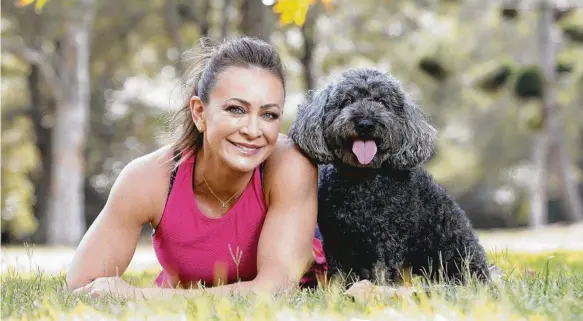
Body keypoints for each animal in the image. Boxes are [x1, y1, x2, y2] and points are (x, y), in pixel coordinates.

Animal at [290, 69, 490, 284]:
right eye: (347, 100)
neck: (363, 179)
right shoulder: (337, 239)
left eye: (382, 101)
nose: (365, 124)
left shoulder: (387, 239)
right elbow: (339, 276)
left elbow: (382, 272)